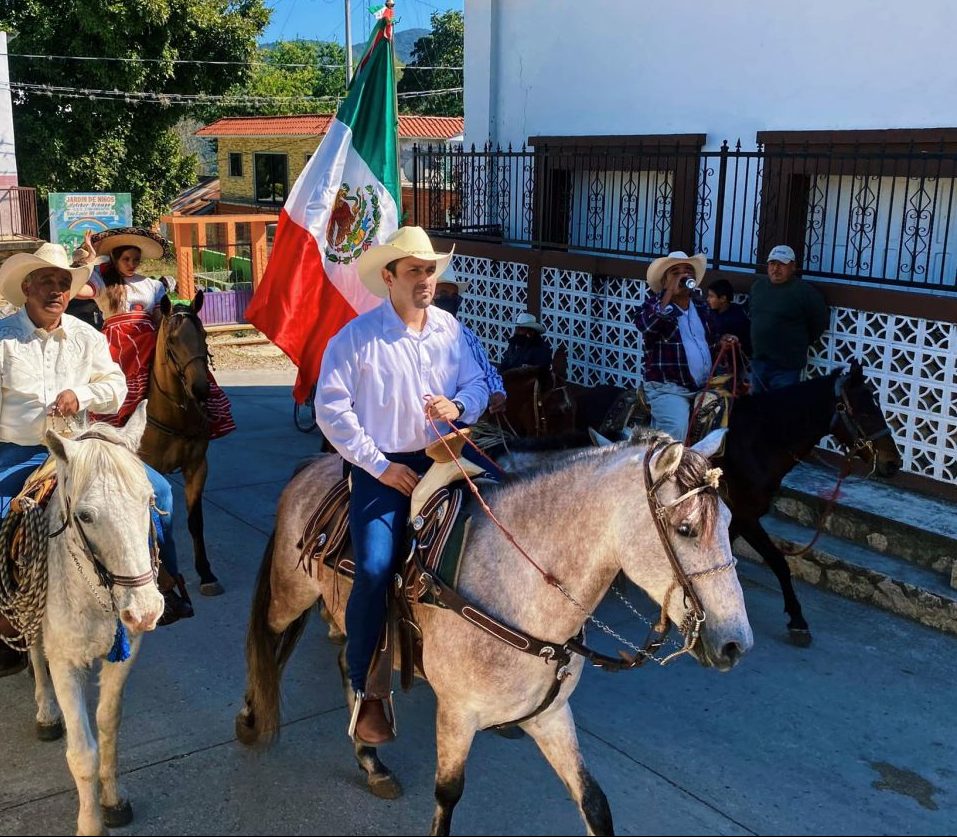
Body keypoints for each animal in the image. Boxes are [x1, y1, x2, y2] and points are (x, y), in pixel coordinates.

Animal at [24, 402, 163, 832]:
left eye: (149, 500)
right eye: (85, 515)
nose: (145, 610)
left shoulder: (126, 654)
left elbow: (107, 726)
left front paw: (113, 800)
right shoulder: (65, 662)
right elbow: (82, 752)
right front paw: (90, 823)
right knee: (34, 652)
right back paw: (46, 713)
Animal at [138, 292, 224, 596]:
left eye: (203, 334)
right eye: (173, 340)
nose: (201, 388)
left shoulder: (197, 466)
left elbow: (194, 521)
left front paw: (206, 573)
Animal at [712, 360, 900, 648]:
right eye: (866, 413)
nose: (893, 463)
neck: (759, 439)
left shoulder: (739, 519)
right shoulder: (745, 516)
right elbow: (778, 561)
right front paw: (798, 620)